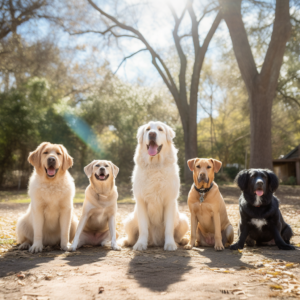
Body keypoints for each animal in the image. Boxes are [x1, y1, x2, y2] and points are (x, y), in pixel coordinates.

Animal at [121, 121, 188, 251]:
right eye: (147, 129)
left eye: (160, 129)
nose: (152, 134)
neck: (155, 165)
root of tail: (155, 242)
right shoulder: (141, 201)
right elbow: (143, 228)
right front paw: (140, 244)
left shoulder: (169, 201)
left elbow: (169, 228)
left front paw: (170, 244)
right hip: (129, 221)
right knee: (131, 238)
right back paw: (125, 242)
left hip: (184, 220)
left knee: (178, 236)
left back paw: (182, 241)